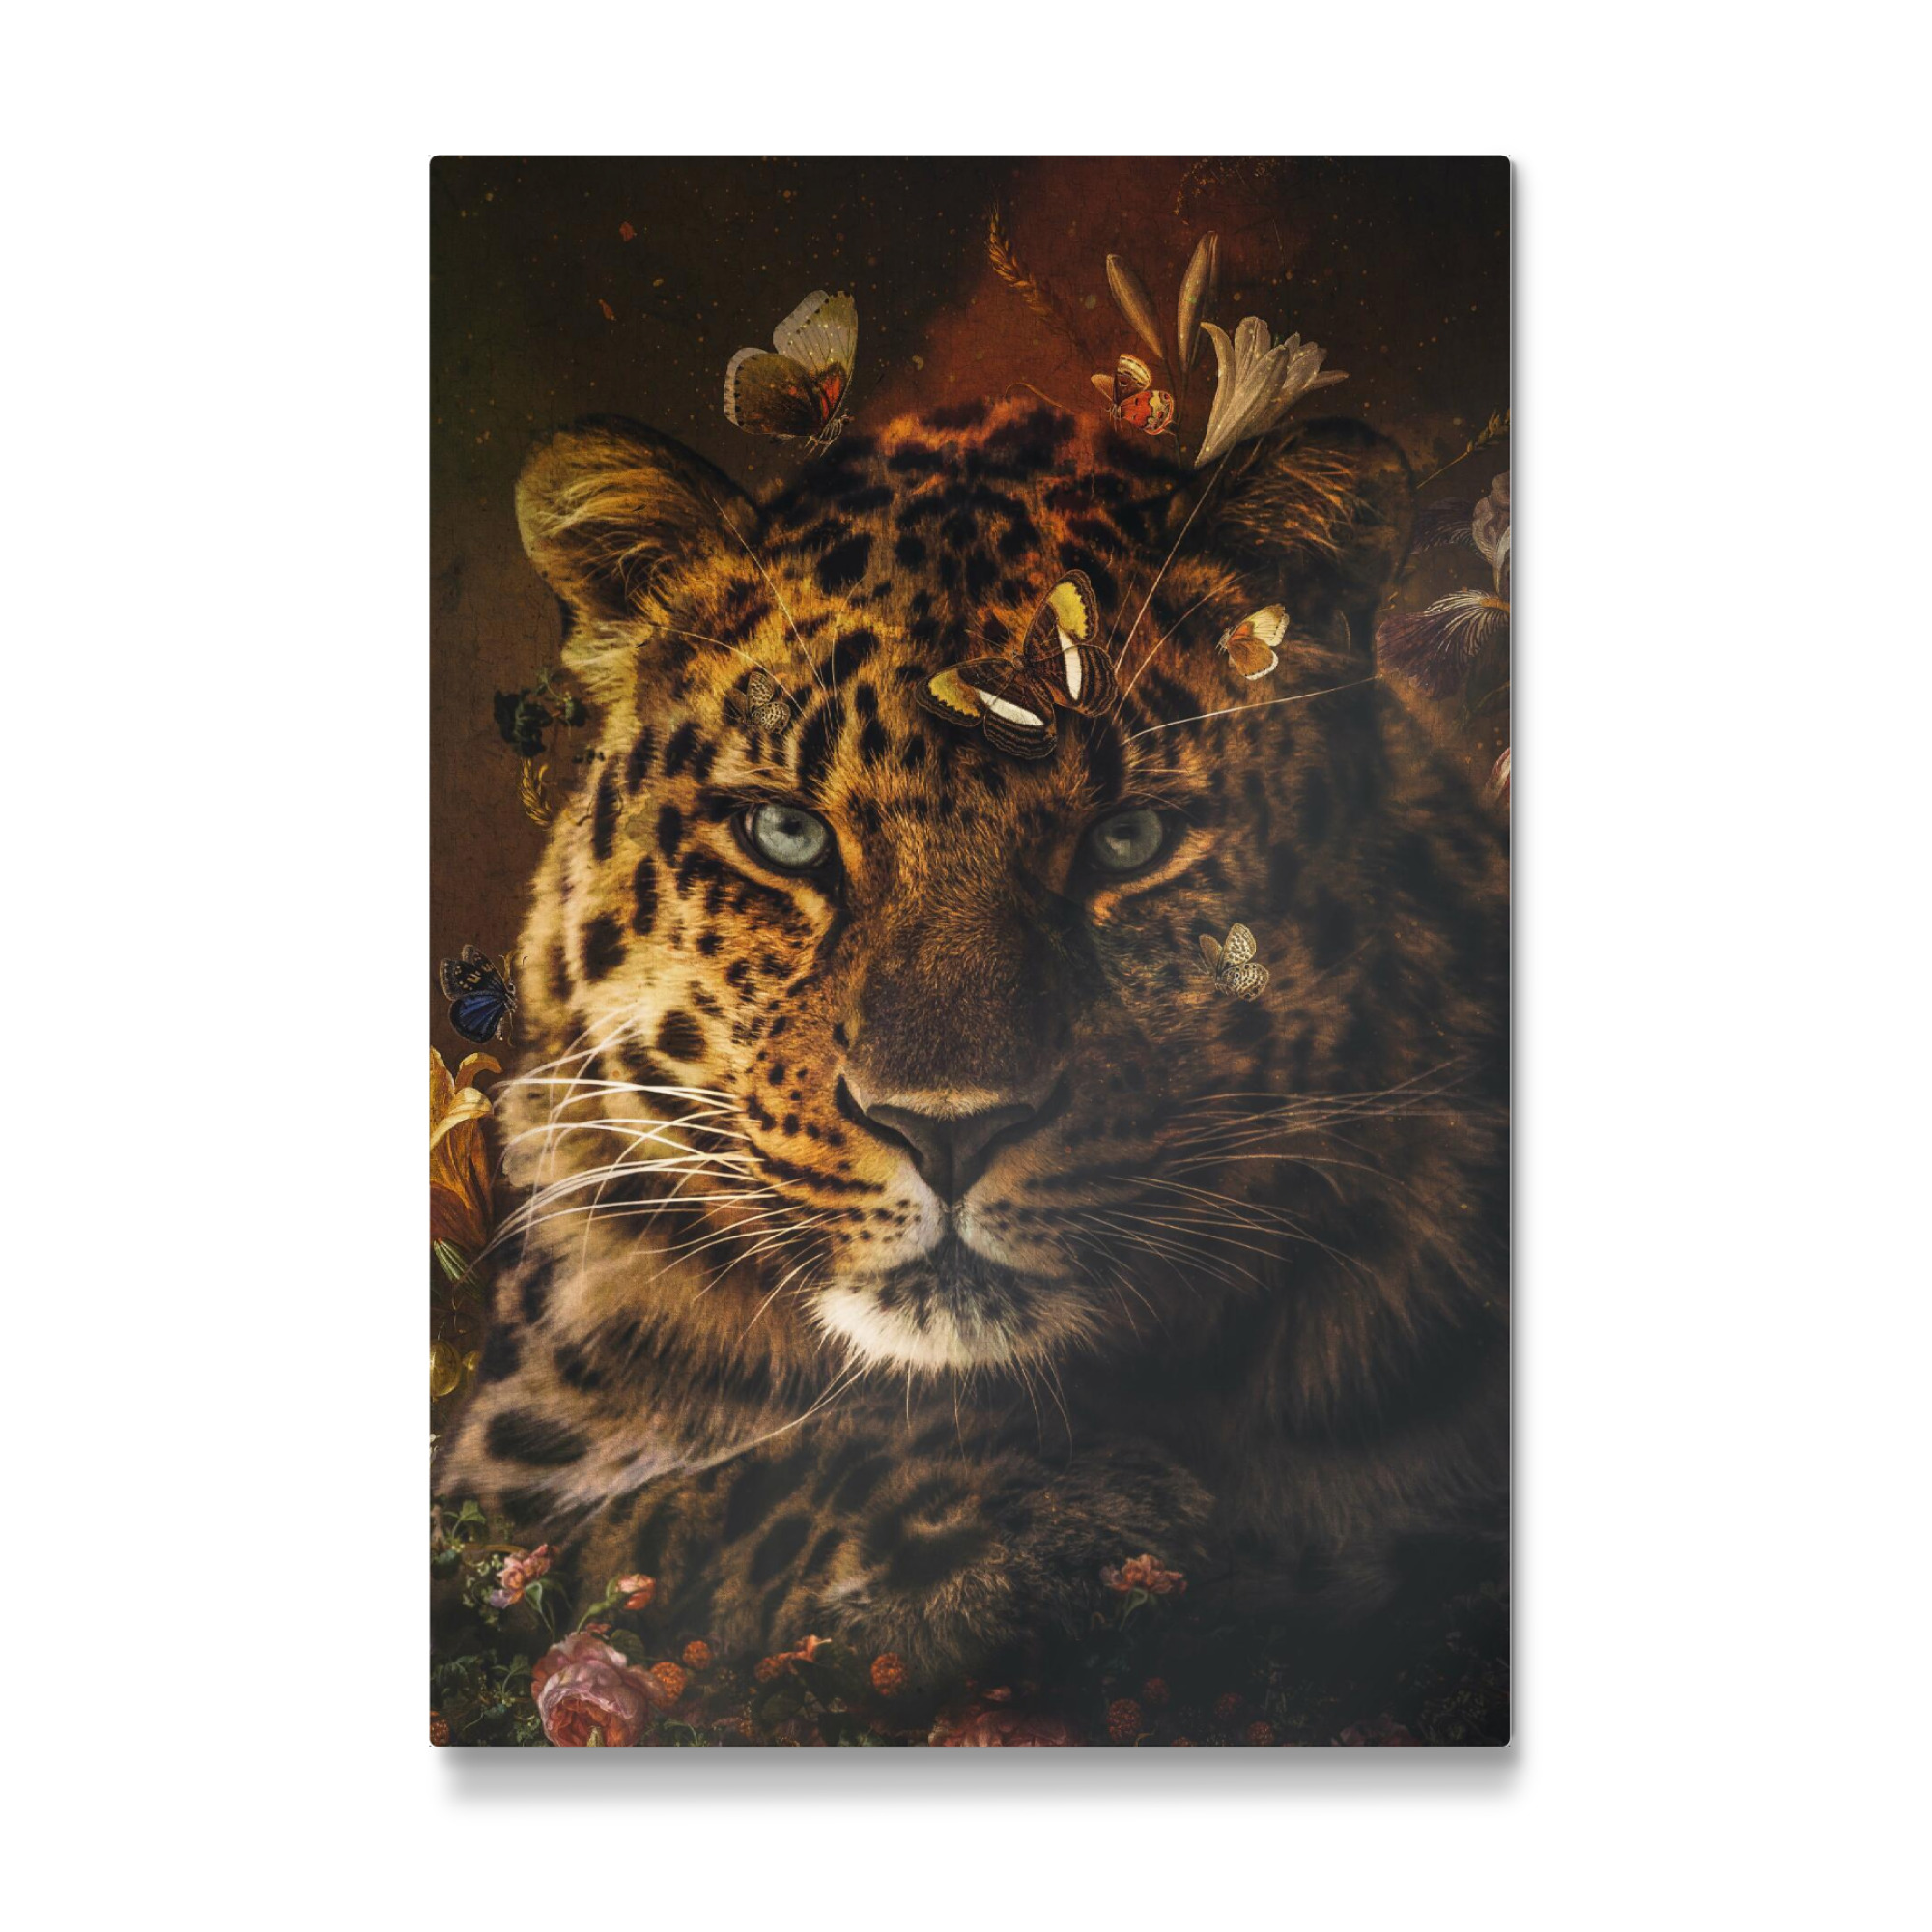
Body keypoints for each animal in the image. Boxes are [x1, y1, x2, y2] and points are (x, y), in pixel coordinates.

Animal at [433, 396, 1508, 1701]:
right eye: (784, 833)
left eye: (1127, 839)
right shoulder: (492, 1489)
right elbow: (670, 1516)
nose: (946, 1129)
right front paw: (1050, 1527)